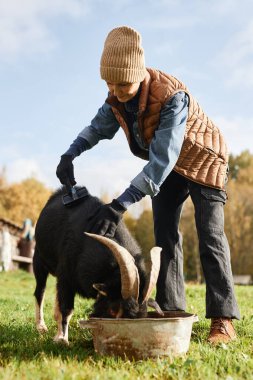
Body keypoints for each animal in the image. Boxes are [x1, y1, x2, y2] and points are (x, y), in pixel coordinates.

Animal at [33, 187, 161, 344]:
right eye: (114, 309)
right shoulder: (66, 277)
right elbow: (67, 309)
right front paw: (63, 340)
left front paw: (59, 337)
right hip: (39, 259)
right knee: (40, 291)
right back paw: (41, 326)